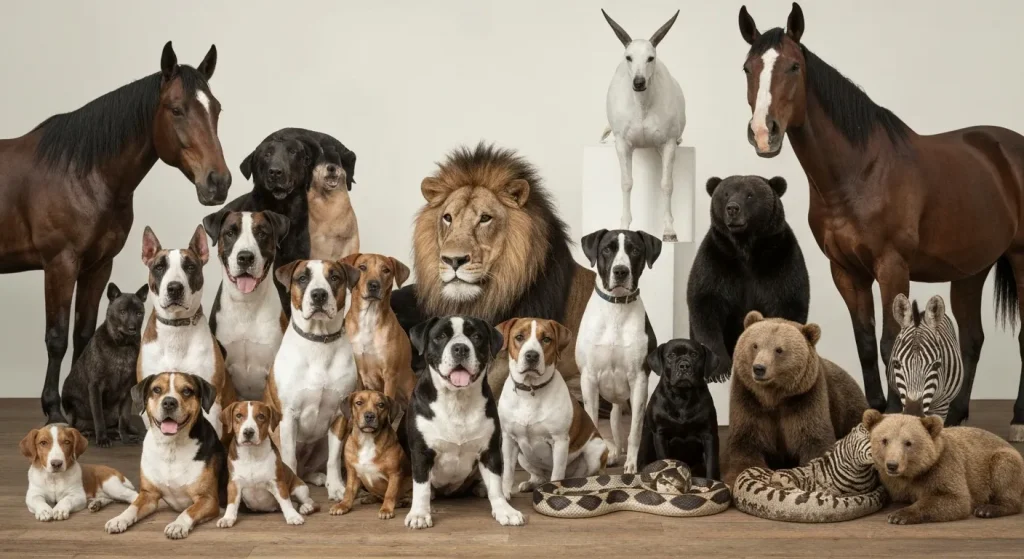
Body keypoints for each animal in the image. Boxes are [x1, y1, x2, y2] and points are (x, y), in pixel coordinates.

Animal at [0, 41, 232, 424]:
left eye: (216, 109)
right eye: (176, 109)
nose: (218, 182)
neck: (83, 173)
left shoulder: (98, 265)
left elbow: (82, 334)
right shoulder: (60, 264)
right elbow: (57, 338)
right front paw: (54, 408)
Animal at [737, 2, 1024, 439]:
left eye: (793, 66)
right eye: (748, 68)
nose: (763, 132)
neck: (860, 172)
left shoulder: (892, 267)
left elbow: (892, 343)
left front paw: (893, 414)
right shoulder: (846, 271)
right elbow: (866, 342)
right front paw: (871, 412)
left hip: (1022, 258)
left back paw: (1018, 417)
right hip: (971, 270)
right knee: (973, 338)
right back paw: (957, 415)